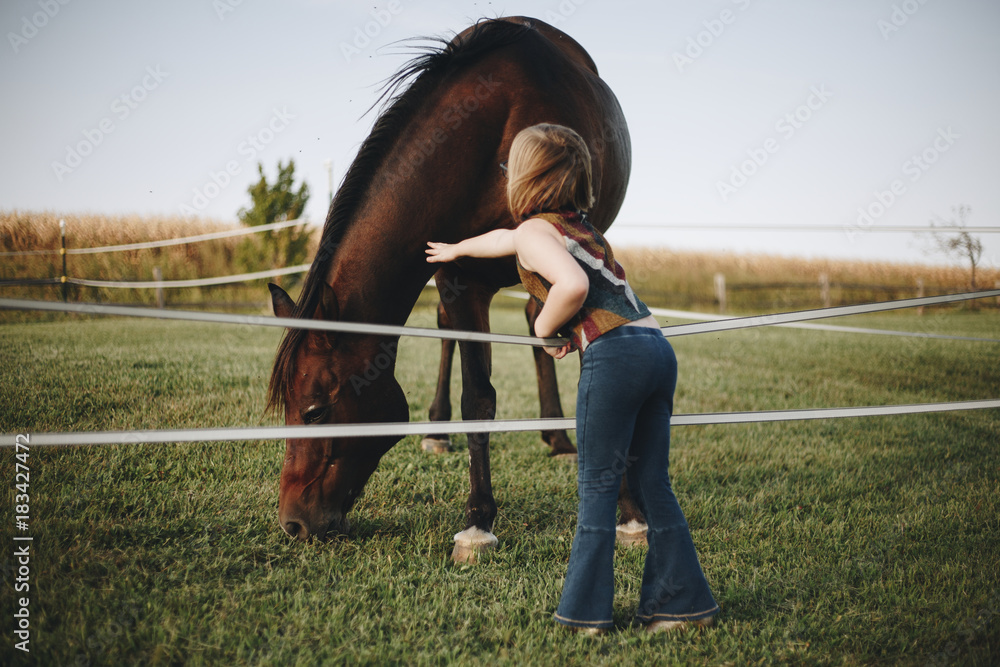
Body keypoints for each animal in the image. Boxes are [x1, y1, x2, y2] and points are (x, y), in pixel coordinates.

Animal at [266, 17, 640, 560]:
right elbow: (476, 397)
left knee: (536, 325)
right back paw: (441, 429)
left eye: (314, 411)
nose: (292, 523)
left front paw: (629, 513)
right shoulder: (459, 278)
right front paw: (479, 517)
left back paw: (557, 438)